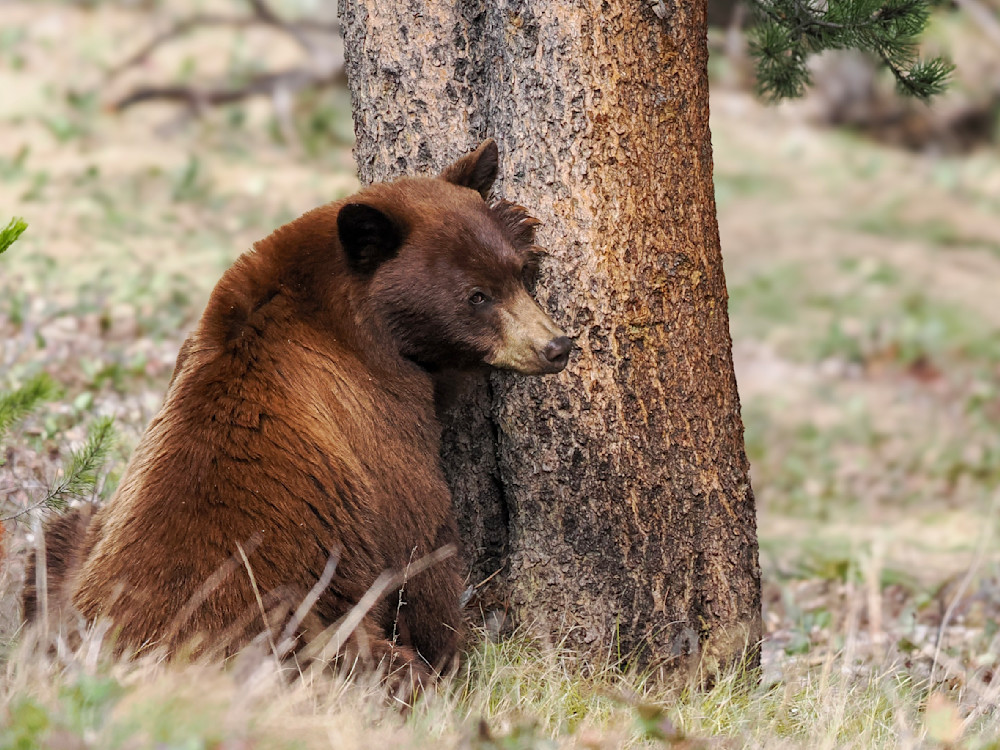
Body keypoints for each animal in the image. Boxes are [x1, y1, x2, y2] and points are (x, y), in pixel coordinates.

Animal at [22, 140, 571, 687]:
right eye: (476, 296)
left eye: (516, 275)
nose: (555, 346)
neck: (343, 316)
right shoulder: (376, 415)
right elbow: (420, 543)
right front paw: (454, 655)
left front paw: (517, 217)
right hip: (303, 641)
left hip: (74, 554)